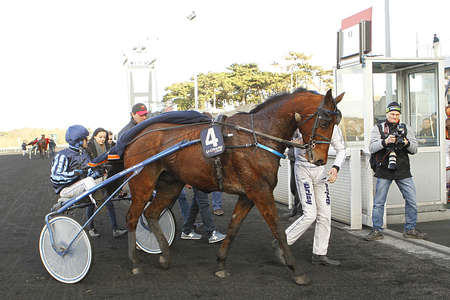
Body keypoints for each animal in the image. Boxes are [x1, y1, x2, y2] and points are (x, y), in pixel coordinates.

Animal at [121, 88, 342, 284]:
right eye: (324, 121)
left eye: (335, 122)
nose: (320, 159)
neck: (257, 135)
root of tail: (137, 137)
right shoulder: (260, 191)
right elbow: (278, 230)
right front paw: (296, 271)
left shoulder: (247, 195)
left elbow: (233, 227)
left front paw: (220, 264)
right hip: (142, 184)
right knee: (132, 217)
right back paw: (134, 262)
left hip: (171, 185)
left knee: (151, 214)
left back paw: (165, 257)